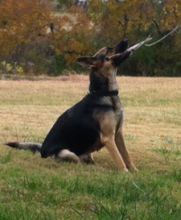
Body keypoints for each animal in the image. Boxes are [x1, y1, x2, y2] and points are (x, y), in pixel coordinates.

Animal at [6, 40, 137, 173]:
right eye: (109, 49)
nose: (126, 40)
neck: (106, 93)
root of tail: (42, 150)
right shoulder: (108, 138)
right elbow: (119, 160)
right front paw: (125, 173)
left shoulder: (118, 135)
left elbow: (126, 156)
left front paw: (135, 171)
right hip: (66, 152)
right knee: (77, 161)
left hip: (86, 152)